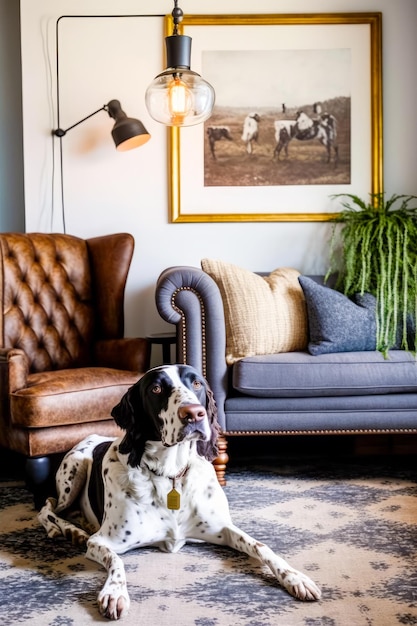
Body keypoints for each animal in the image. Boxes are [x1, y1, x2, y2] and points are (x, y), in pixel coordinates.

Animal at [37, 364, 320, 616]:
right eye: (156, 389)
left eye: (196, 384)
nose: (193, 413)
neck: (171, 474)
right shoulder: (102, 541)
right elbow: (117, 560)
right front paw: (115, 592)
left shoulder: (222, 529)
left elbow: (261, 545)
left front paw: (295, 577)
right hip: (75, 466)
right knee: (47, 506)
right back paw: (69, 529)